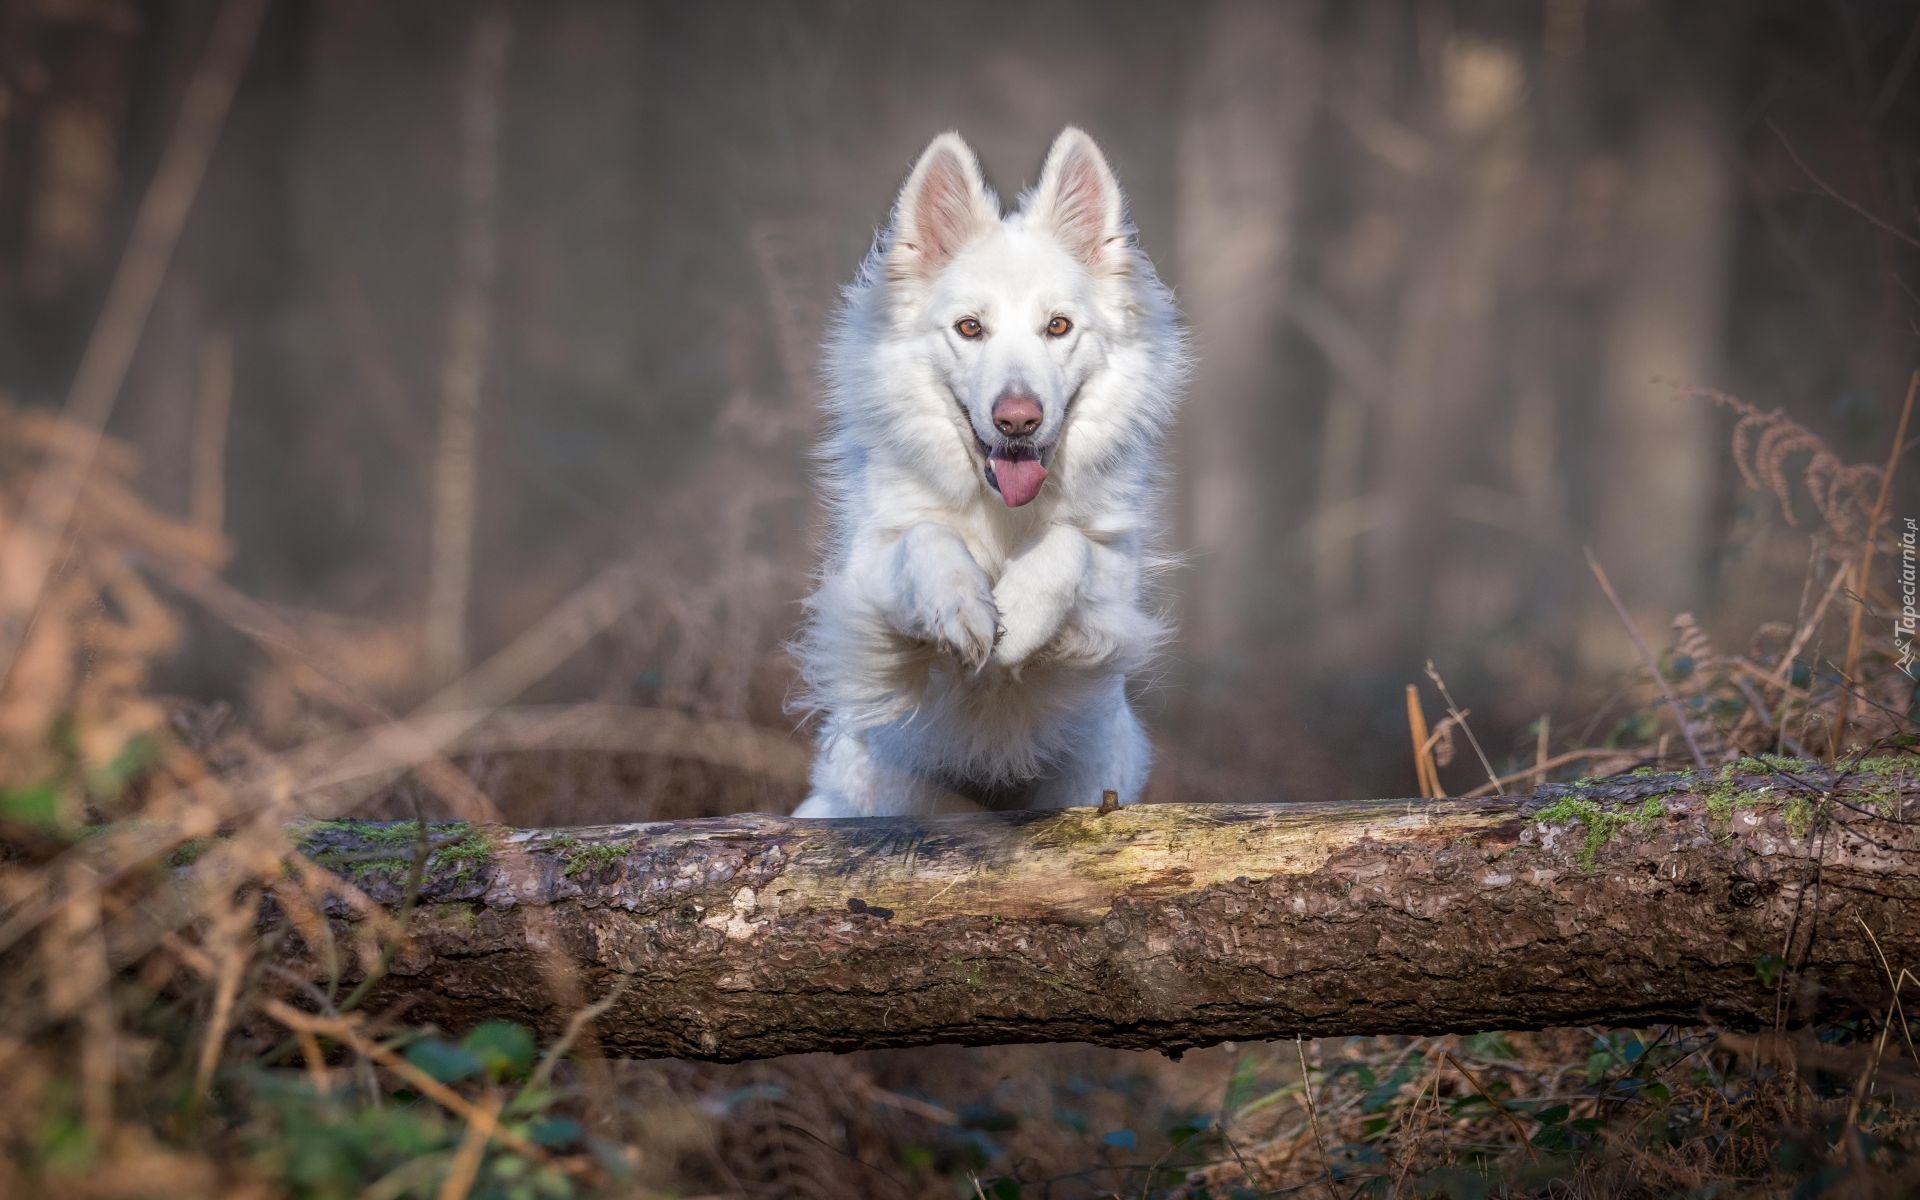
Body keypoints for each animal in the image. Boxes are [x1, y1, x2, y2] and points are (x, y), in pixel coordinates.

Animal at [783, 130, 1175, 817]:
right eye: (970, 328)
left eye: (1058, 326)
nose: (1017, 420)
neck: (1001, 514)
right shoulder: (862, 582)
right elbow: (923, 538)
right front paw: (962, 606)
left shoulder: (1113, 598)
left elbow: (1070, 544)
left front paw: (1017, 613)